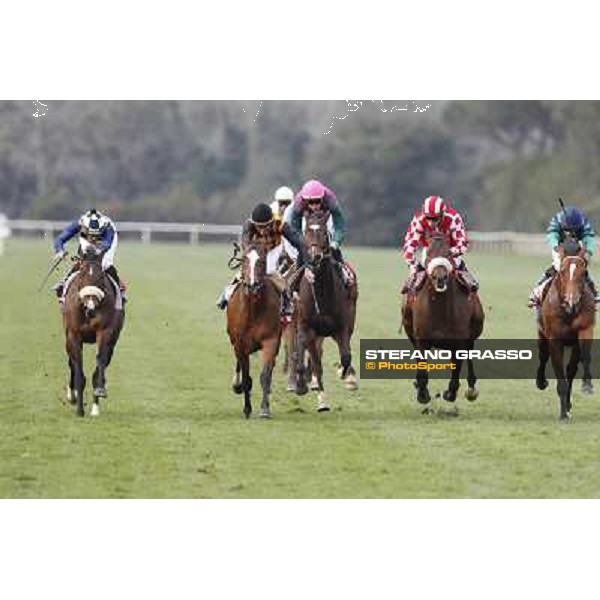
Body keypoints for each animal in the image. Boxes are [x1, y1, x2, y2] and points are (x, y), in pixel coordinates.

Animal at [62, 244, 125, 418]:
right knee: (71, 362)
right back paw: (72, 395)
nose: (91, 307)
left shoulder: (105, 333)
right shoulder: (74, 334)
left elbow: (100, 362)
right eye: (82, 272)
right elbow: (78, 367)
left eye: (101, 275)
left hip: (114, 341)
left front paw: (97, 401)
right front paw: (79, 409)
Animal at [226, 239, 282, 418]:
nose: (252, 285)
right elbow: (245, 376)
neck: (253, 310)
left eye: (262, 260)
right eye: (244, 259)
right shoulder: (239, 343)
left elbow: (265, 375)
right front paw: (247, 408)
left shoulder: (271, 339)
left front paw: (264, 409)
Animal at [294, 209, 356, 410]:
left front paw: (345, 375)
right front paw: (320, 399)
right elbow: (316, 364)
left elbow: (346, 357)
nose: (315, 257)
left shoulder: (342, 328)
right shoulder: (308, 329)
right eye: (306, 232)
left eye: (323, 233)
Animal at [400, 234, 486, 408]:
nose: (440, 278)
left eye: (449, 254)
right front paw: (422, 394)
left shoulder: (458, 341)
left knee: (470, 353)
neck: (440, 309)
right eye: (429, 254)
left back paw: (471, 388)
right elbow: (422, 368)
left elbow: (456, 369)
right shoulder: (421, 339)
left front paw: (450, 393)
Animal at [536, 237, 596, 420]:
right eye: (562, 271)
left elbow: (583, 358)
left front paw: (587, 385)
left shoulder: (584, 329)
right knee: (543, 356)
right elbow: (559, 371)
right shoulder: (555, 339)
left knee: (571, 368)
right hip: (542, 334)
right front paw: (563, 414)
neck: (568, 312)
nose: (571, 303)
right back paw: (541, 382)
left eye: (584, 273)